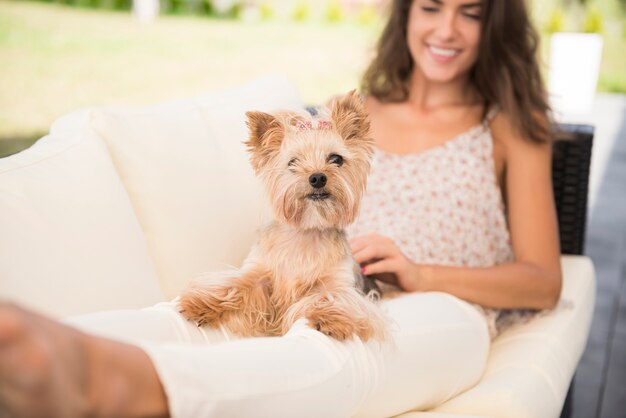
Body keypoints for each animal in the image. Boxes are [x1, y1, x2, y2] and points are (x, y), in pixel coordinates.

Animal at [177, 90, 386, 340]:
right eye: (292, 162)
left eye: (336, 159)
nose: (318, 177)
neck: (306, 229)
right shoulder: (258, 272)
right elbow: (235, 283)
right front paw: (202, 303)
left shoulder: (339, 283)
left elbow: (333, 296)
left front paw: (330, 318)